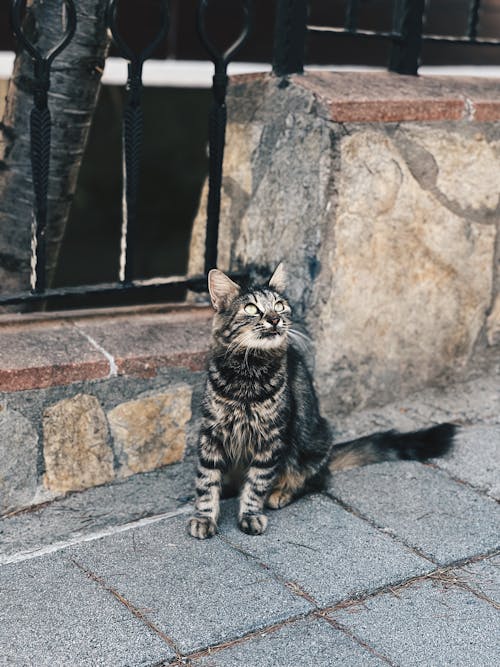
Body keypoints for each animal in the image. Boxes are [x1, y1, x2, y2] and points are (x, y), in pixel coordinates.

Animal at [187, 264, 454, 540]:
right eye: (251, 308)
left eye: (279, 305)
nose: (274, 319)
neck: (247, 374)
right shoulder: (211, 433)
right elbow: (206, 481)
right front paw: (204, 517)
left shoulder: (271, 439)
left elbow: (257, 482)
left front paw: (250, 515)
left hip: (311, 442)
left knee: (313, 480)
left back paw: (279, 494)